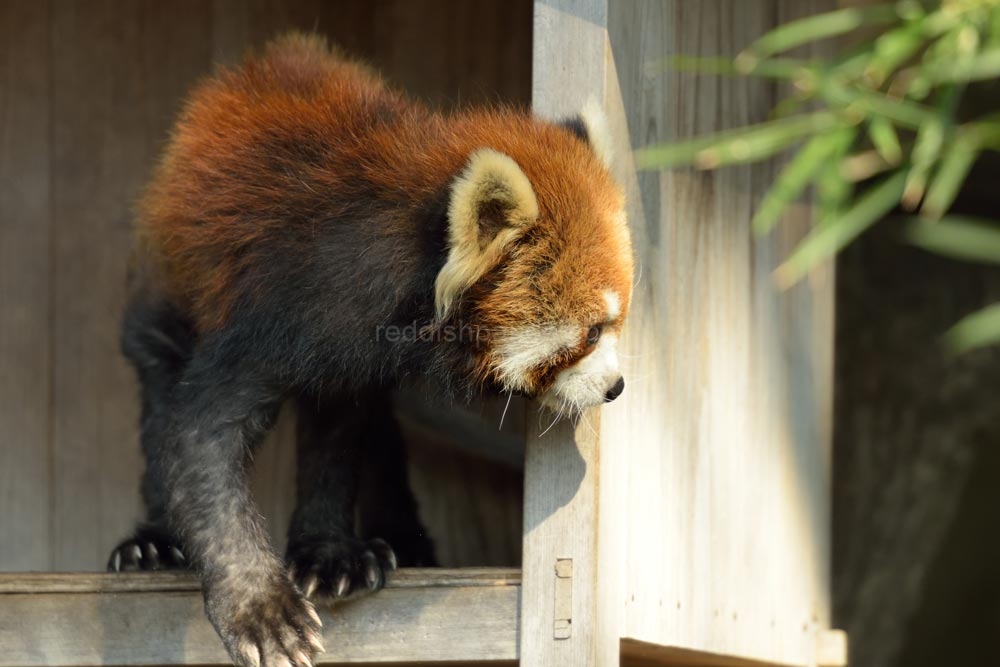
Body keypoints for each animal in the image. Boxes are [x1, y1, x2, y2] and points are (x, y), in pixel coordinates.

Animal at [111, 34, 632, 667]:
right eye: (592, 332)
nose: (616, 387)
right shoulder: (281, 304)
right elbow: (200, 436)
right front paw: (261, 610)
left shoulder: (348, 359)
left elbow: (336, 440)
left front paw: (330, 554)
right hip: (163, 296)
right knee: (160, 396)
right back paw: (153, 544)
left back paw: (395, 542)